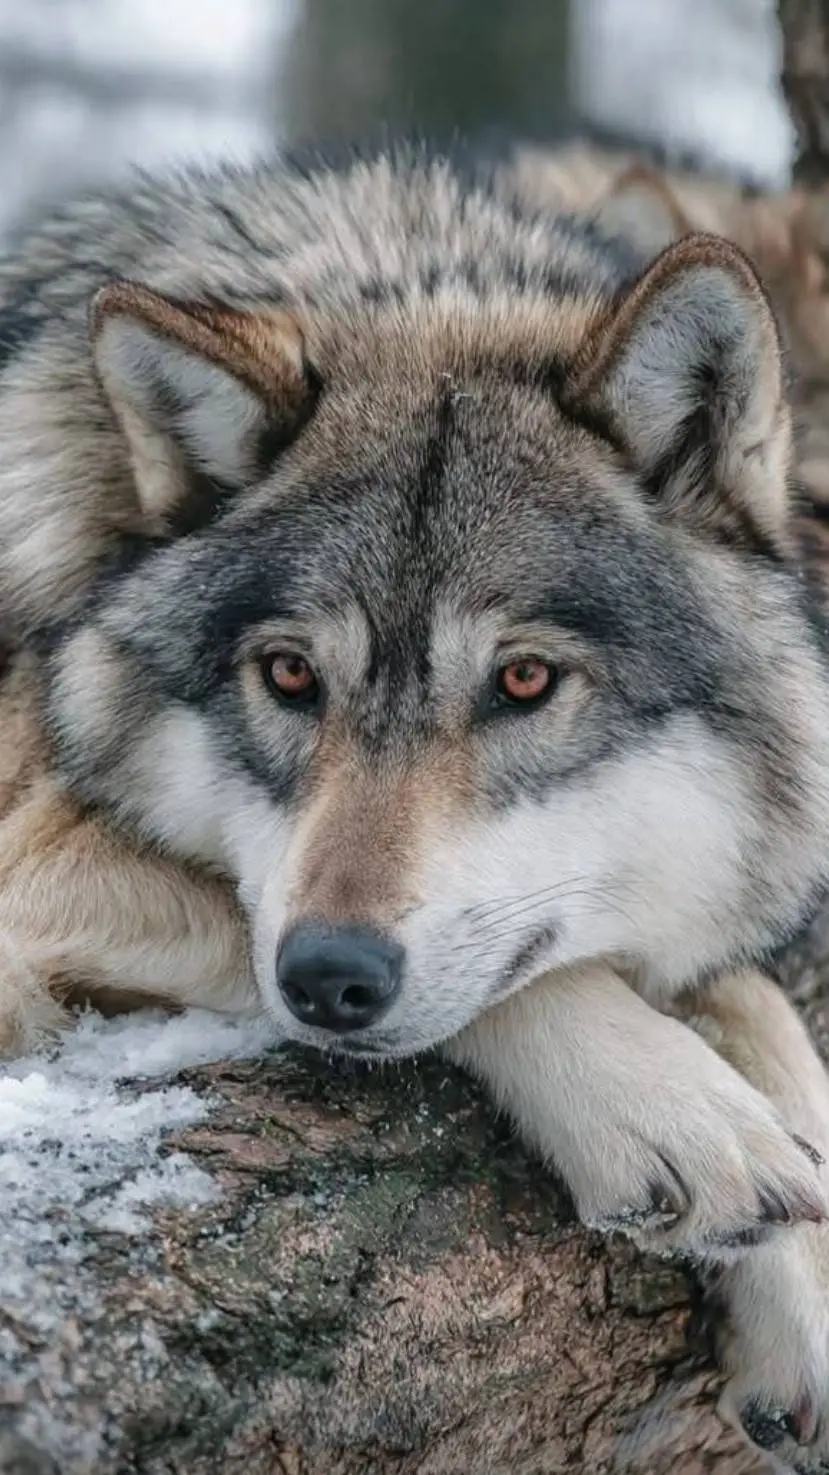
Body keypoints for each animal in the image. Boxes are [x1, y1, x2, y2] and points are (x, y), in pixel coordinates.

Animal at [3, 139, 829, 1466]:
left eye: (524, 680)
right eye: (291, 675)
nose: (328, 976)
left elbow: (749, 993)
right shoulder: (28, 853)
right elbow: (539, 982)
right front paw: (681, 1112)